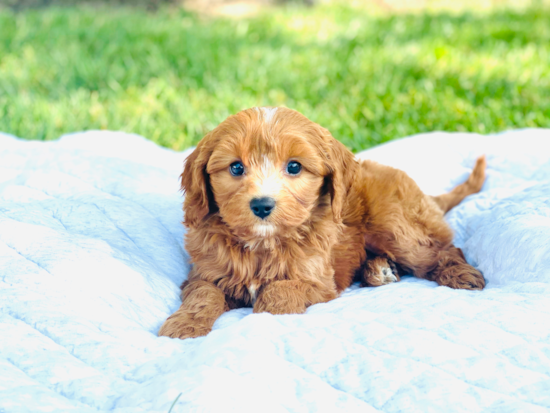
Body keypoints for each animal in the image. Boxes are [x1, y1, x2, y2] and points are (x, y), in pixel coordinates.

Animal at [160, 106, 488, 338]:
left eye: (294, 166)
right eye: (236, 168)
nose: (262, 205)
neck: (263, 244)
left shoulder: (319, 283)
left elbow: (279, 290)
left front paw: (267, 315)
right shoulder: (205, 273)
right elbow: (203, 294)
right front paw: (184, 325)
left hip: (394, 226)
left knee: (441, 250)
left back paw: (460, 274)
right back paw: (378, 270)